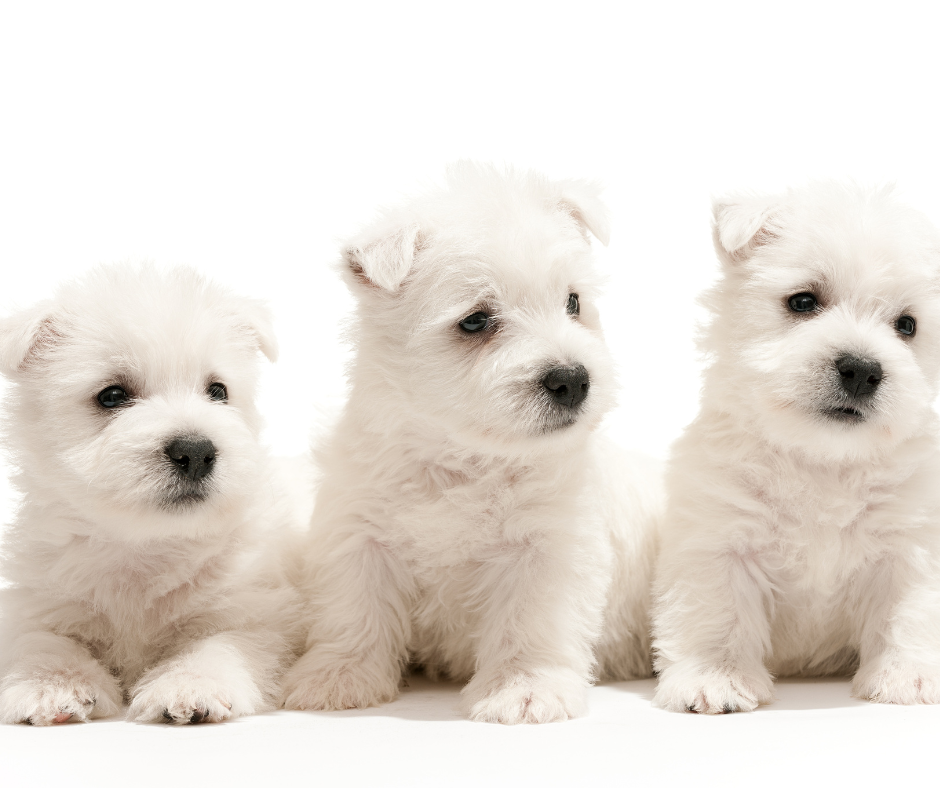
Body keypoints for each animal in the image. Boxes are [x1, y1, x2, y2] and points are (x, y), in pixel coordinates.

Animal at [0, 266, 310, 728]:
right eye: (111, 395)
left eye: (218, 391)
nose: (196, 451)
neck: (146, 548)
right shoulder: (43, 601)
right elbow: (47, 641)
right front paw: (51, 685)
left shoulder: (254, 612)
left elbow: (218, 645)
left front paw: (189, 686)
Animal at [282, 163, 664, 724]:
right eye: (476, 320)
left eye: (573, 302)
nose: (573, 379)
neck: (465, 457)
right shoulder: (359, 532)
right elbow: (354, 610)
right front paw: (338, 677)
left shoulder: (547, 546)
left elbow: (530, 622)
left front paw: (524, 690)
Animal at [652, 183, 940, 716]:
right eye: (803, 301)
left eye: (908, 325)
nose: (862, 370)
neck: (822, 459)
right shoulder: (719, 538)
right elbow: (717, 614)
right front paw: (714, 679)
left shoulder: (910, 545)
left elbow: (910, 614)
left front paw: (909, 677)